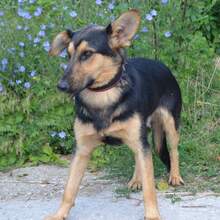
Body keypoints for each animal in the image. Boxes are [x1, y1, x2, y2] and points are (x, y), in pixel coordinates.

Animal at [46, 9, 184, 220]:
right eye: (68, 55)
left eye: (87, 54)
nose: (61, 86)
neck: (102, 96)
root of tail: (161, 64)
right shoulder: (82, 149)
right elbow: (69, 189)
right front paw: (59, 214)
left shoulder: (142, 141)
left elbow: (150, 189)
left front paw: (152, 214)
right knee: (138, 156)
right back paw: (136, 179)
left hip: (170, 123)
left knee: (174, 150)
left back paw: (175, 176)